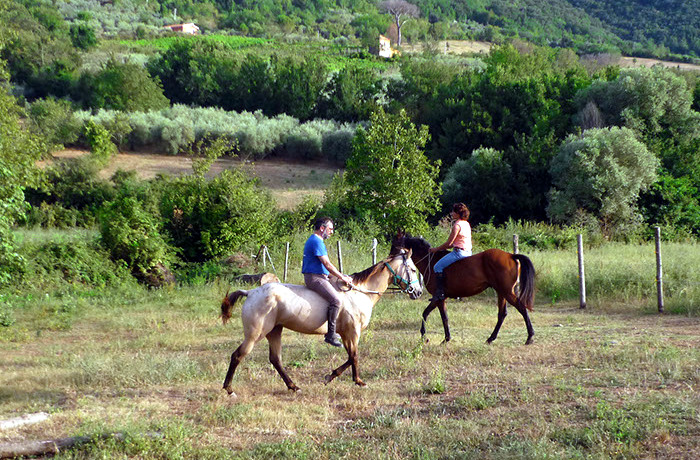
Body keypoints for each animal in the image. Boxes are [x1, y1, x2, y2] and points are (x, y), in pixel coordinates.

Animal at [220, 248, 422, 396]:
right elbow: (354, 356)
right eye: (413, 269)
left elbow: (350, 357)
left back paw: (293, 386)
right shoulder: (353, 332)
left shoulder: (346, 334)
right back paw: (229, 389)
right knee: (237, 356)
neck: (360, 292)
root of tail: (250, 292)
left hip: (275, 331)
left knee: (275, 359)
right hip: (255, 334)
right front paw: (358, 381)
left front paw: (332, 376)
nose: (418, 292)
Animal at [388, 234, 536, 344]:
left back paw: (529, 337)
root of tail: (511, 255)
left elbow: (429, 314)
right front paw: (445, 339)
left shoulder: (438, 298)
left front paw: (428, 337)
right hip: (501, 292)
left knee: (521, 308)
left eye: (394, 246)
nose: (388, 260)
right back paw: (490, 339)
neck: (430, 261)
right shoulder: (441, 299)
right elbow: (442, 317)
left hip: (506, 292)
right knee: (502, 314)